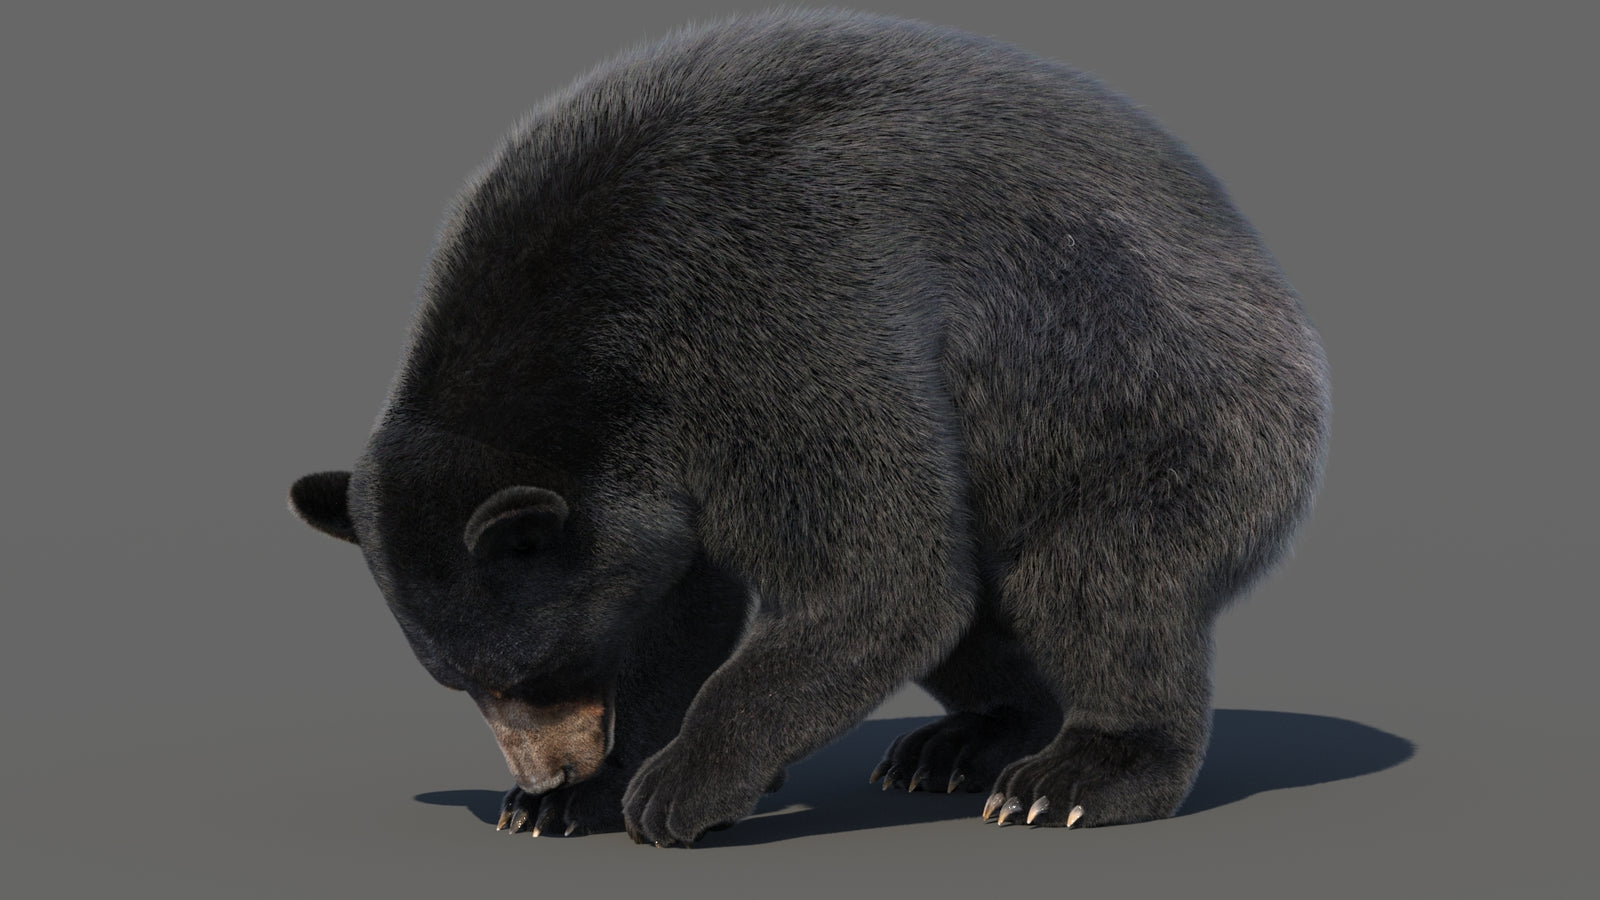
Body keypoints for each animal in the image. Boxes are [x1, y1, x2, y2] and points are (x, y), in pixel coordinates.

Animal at [289, 9, 1329, 847]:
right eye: (460, 680)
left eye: (535, 669)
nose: (550, 769)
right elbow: (686, 598)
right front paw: (577, 800)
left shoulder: (777, 314)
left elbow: (876, 572)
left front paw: (674, 786)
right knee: (986, 612)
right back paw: (964, 741)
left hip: (1153, 403)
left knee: (1099, 581)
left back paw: (1073, 776)